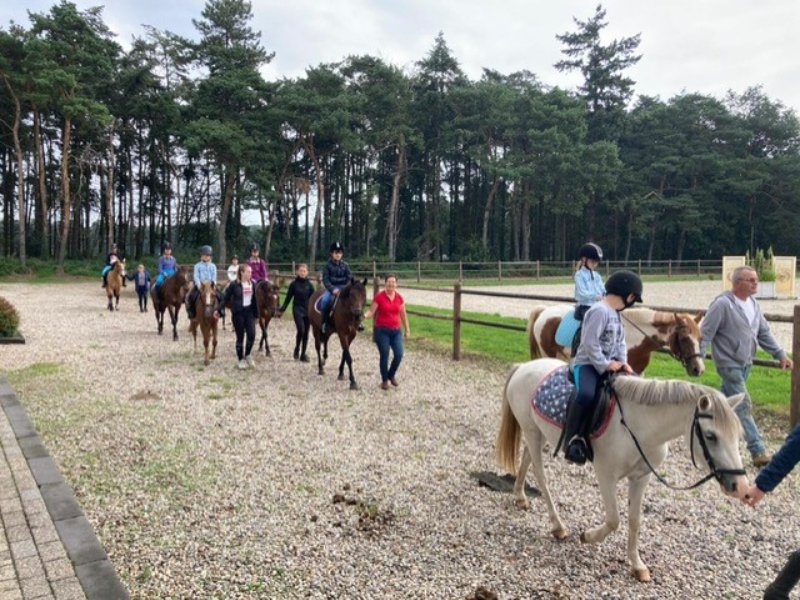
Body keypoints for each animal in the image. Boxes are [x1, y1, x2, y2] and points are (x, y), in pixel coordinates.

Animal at [495, 357, 748, 582]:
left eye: (738, 436)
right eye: (711, 436)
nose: (741, 486)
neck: (638, 425)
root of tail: (524, 366)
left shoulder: (641, 478)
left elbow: (634, 521)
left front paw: (637, 566)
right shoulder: (606, 475)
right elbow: (614, 519)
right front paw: (587, 536)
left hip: (540, 434)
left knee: (527, 458)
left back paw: (520, 496)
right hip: (531, 431)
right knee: (541, 475)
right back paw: (558, 526)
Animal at [527, 305, 705, 376]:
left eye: (700, 338)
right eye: (684, 338)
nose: (699, 369)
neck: (634, 335)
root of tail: (543, 311)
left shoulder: (638, 371)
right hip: (548, 354)